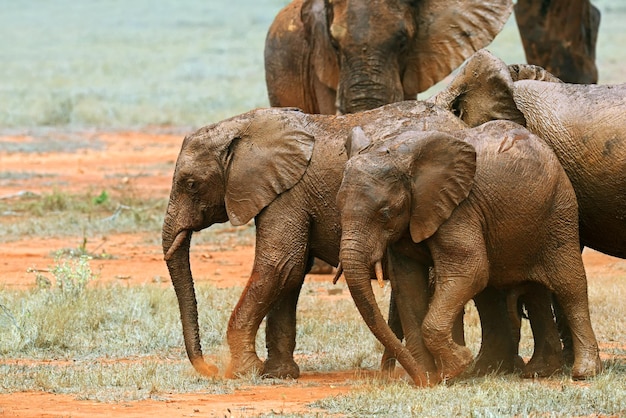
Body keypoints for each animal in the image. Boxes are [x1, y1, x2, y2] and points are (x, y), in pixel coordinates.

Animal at [162, 100, 472, 378]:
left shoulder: (287, 193)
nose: (209, 368)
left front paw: (243, 372)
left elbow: (279, 265)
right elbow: (291, 273)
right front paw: (278, 375)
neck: (242, 126)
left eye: (191, 184)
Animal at [334, 120, 604, 386]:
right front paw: (431, 378)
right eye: (338, 207)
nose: (417, 378)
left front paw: (456, 367)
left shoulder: (460, 209)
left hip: (559, 212)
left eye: (385, 213)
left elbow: (470, 270)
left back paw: (584, 372)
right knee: (528, 293)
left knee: (569, 285)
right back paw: (531, 371)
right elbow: (408, 286)